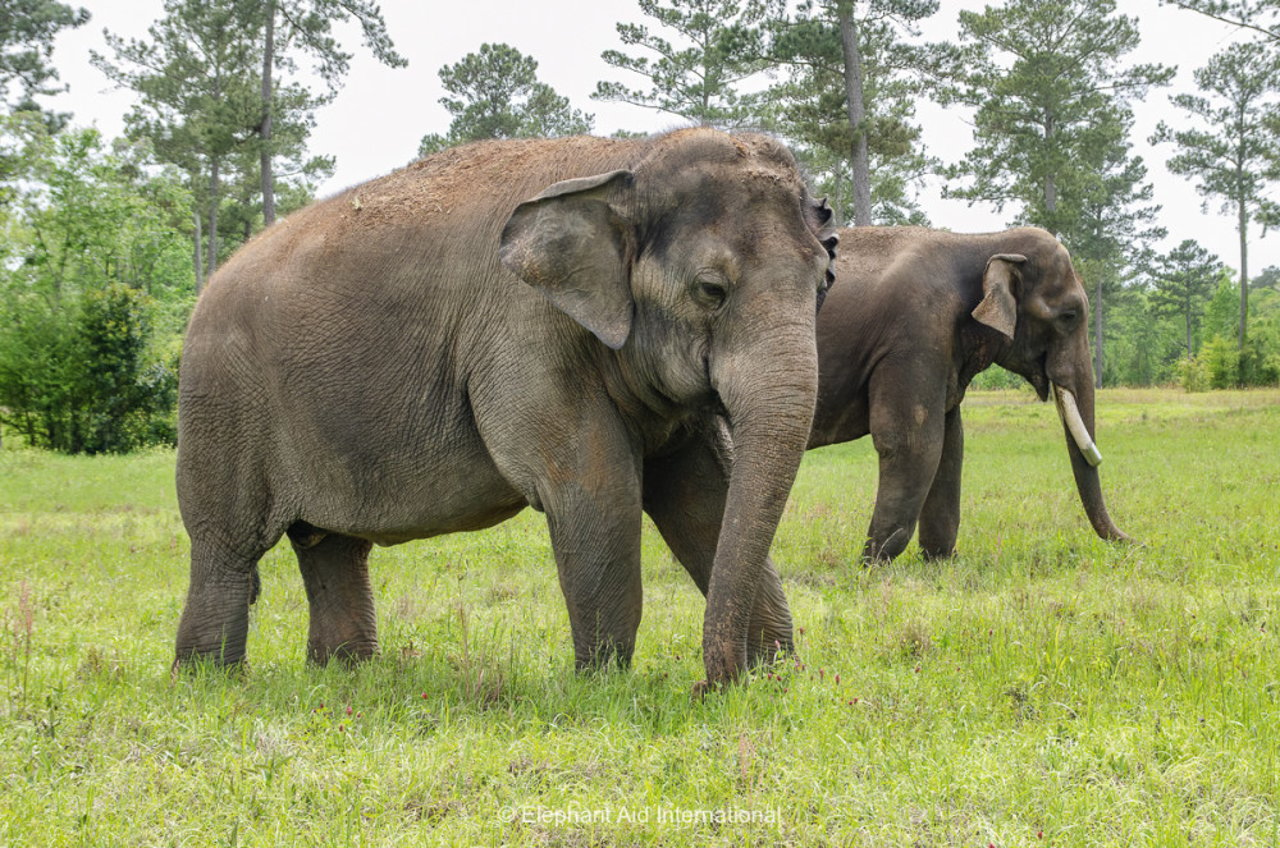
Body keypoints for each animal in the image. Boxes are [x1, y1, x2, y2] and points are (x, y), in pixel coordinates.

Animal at [177, 128, 839, 691]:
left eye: (824, 284)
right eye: (711, 290)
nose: (710, 684)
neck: (630, 156)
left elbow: (706, 495)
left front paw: (777, 679)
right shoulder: (526, 337)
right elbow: (597, 491)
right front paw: (602, 689)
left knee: (332, 547)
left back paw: (344, 676)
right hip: (222, 405)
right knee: (226, 547)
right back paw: (210, 682)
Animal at [808, 225, 1131, 563]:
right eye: (1069, 315)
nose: (1136, 542)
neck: (981, 240)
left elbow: (951, 444)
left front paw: (938, 561)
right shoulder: (915, 334)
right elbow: (913, 443)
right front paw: (872, 564)